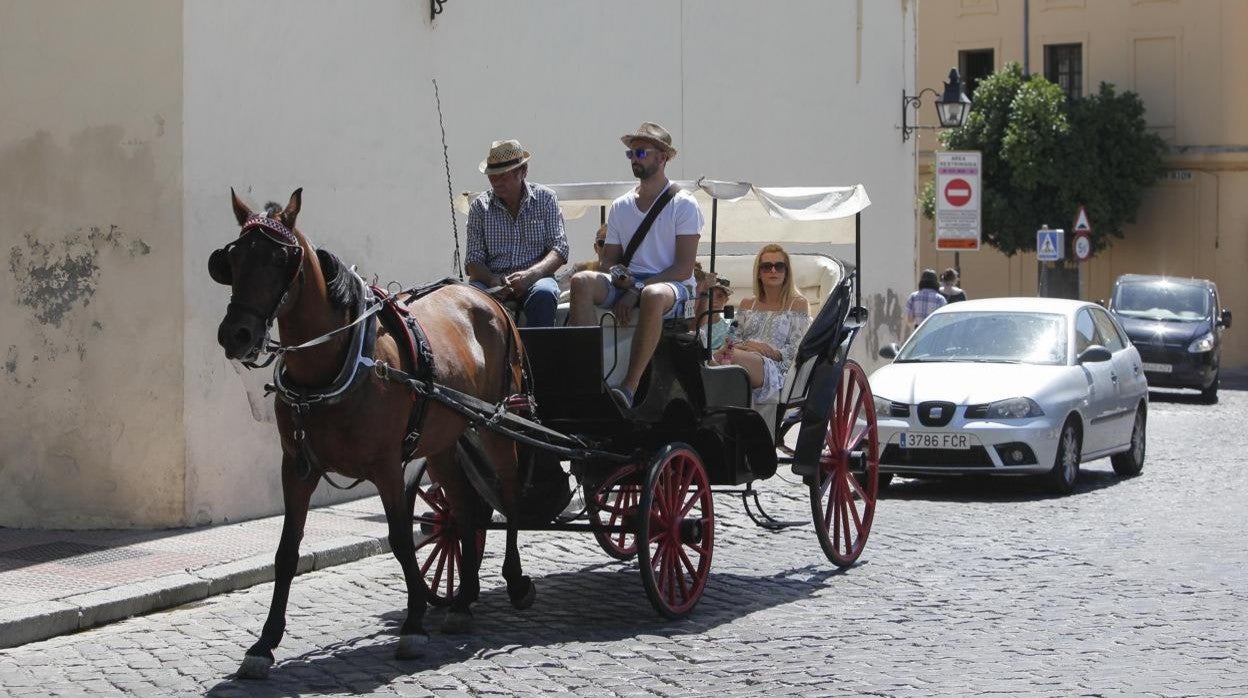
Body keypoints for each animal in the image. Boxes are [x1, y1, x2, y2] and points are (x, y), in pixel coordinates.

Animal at [208, 188, 536, 679]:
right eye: (232, 258)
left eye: (281, 258)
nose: (237, 335)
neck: (334, 363)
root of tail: (487, 298)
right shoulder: (296, 468)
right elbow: (286, 553)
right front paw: (264, 645)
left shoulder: (385, 466)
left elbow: (400, 540)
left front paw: (414, 623)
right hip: (444, 440)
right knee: (465, 509)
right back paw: (463, 601)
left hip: (498, 423)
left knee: (511, 496)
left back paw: (514, 582)